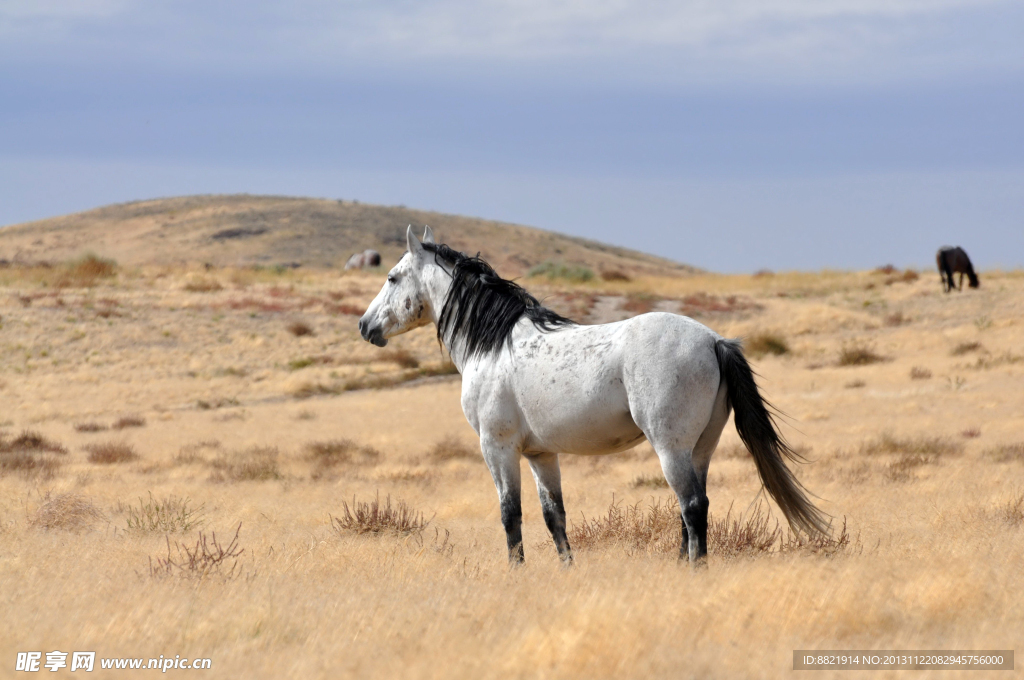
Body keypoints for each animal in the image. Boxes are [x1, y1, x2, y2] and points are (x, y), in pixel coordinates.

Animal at [359, 226, 827, 566]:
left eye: (391, 277)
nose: (365, 326)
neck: (493, 344)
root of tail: (714, 340)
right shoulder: (541, 454)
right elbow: (554, 516)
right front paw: (567, 569)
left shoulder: (498, 448)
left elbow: (511, 514)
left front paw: (516, 572)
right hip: (700, 449)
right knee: (691, 509)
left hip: (671, 448)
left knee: (692, 506)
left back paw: (694, 570)